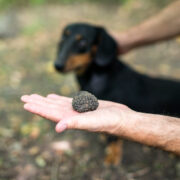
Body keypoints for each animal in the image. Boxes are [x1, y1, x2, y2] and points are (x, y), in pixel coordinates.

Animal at [54, 23, 180, 165]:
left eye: (83, 42)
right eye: (62, 39)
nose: (57, 65)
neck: (98, 75)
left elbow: (113, 141)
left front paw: (112, 157)